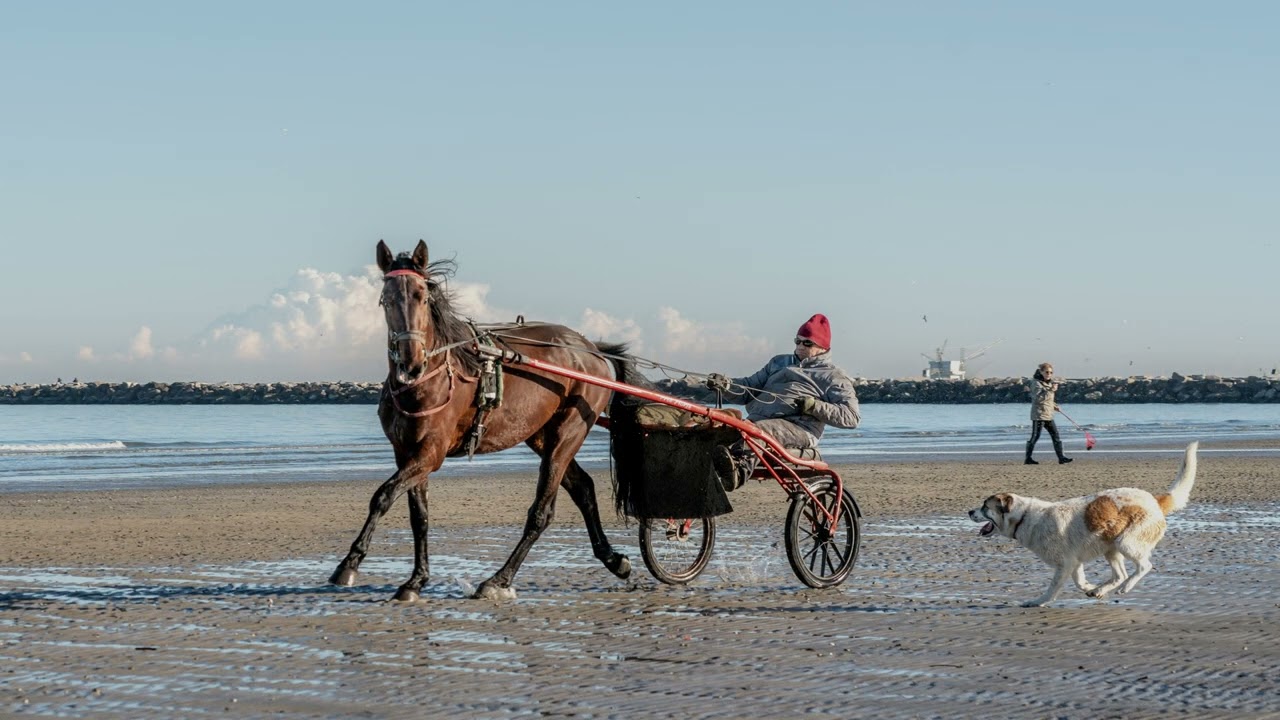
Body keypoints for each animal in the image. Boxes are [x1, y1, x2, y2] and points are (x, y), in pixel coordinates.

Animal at [329, 240, 635, 601]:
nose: (411, 362)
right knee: (583, 487)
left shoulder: (430, 453)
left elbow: (382, 496)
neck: (427, 381)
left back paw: (498, 580)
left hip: (569, 431)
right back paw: (613, 559)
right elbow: (419, 516)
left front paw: (349, 563)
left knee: (541, 513)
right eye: (386, 299)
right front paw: (416, 580)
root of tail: (591, 349)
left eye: (422, 296)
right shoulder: (406, 451)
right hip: (541, 435)